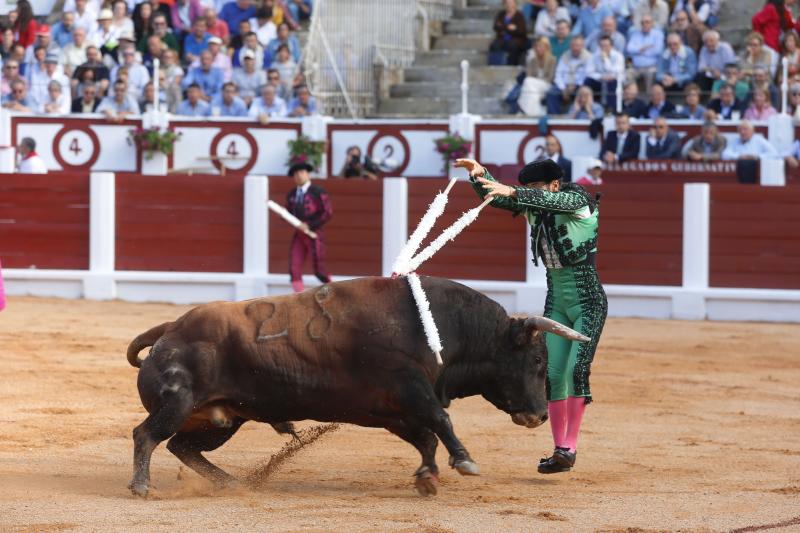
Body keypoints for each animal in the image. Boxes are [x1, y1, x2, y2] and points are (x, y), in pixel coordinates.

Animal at [126, 276, 588, 496]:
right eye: (537, 360)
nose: (539, 414)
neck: (447, 329)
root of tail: (171, 327)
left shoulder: (390, 410)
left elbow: (426, 437)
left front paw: (427, 476)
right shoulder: (411, 390)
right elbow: (441, 421)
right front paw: (464, 461)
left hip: (221, 419)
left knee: (183, 447)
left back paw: (232, 483)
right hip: (179, 402)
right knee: (146, 435)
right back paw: (143, 486)